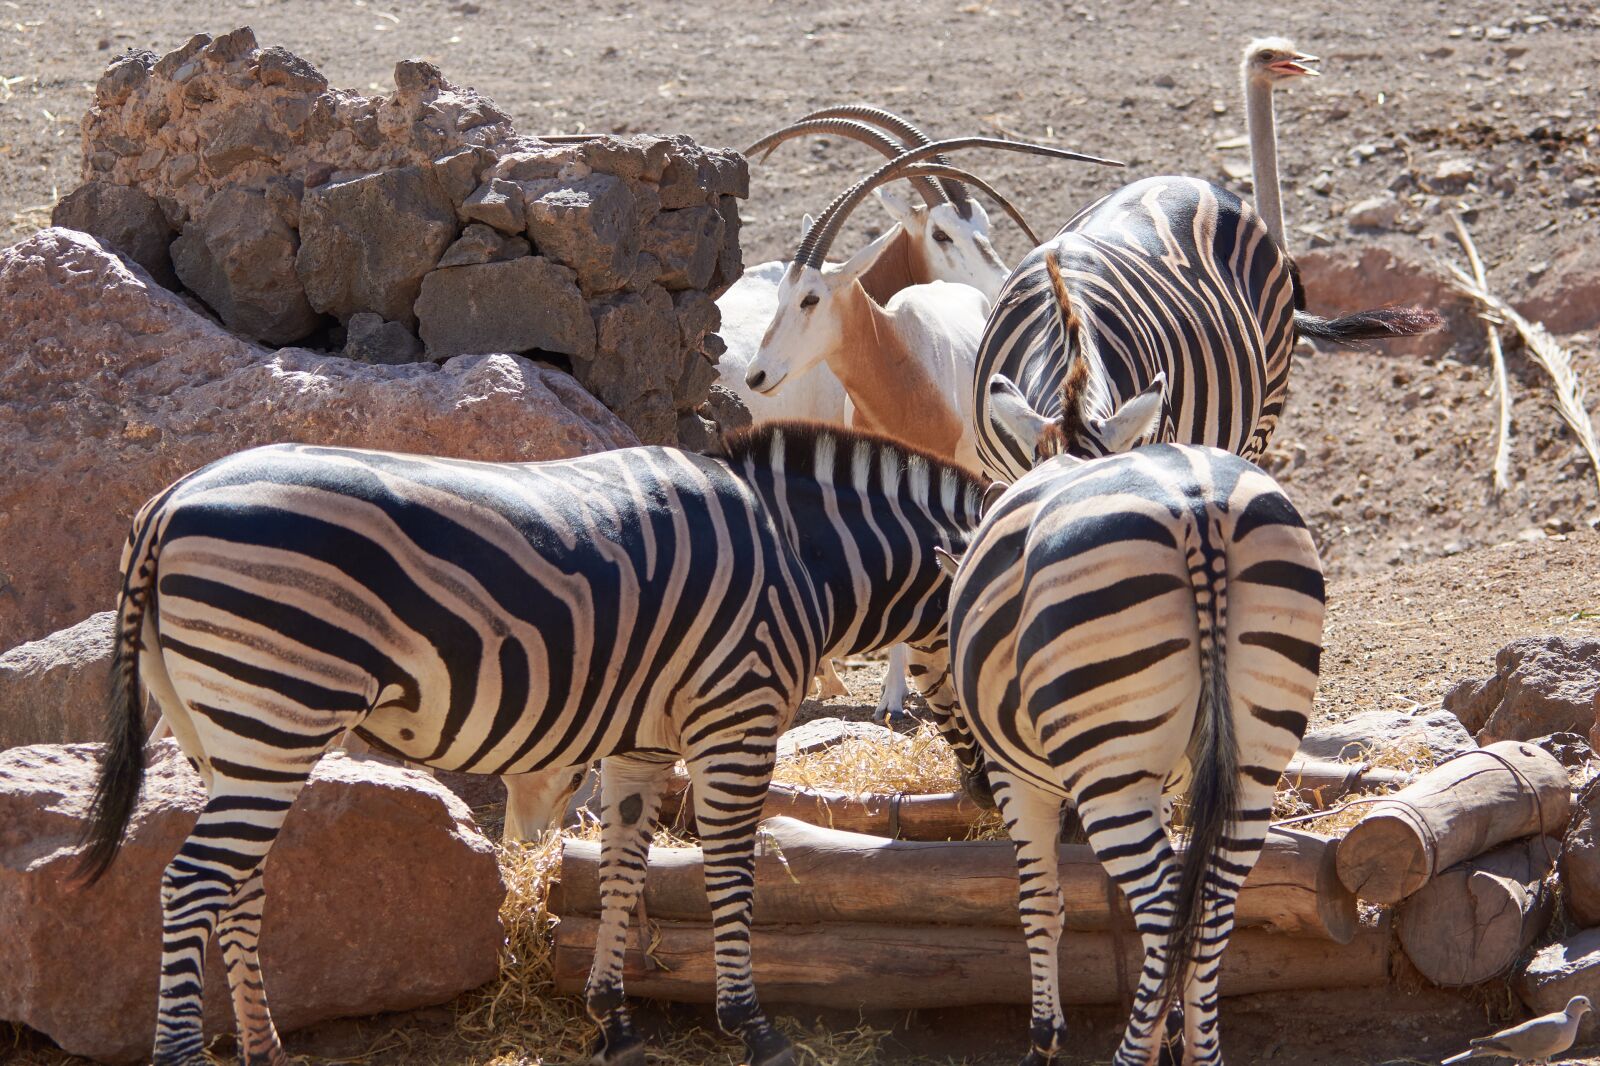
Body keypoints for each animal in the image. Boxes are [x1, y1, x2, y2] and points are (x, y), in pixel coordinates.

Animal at [76, 426, 986, 1066]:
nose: (980, 793)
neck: (802, 557)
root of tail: (169, 504)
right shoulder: (739, 717)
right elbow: (731, 870)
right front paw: (753, 1028)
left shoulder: (641, 743)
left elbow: (622, 868)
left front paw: (613, 1020)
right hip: (278, 714)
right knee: (193, 884)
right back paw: (185, 1053)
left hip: (224, 735)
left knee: (239, 885)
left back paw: (266, 1050)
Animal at [943, 442, 1326, 1066]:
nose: (972, 789)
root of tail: (1198, 506)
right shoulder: (1166, 787)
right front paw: (1170, 1031)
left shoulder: (1016, 782)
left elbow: (1039, 904)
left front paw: (1045, 1038)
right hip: (1252, 765)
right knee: (1207, 909)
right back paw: (1198, 1052)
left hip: (1108, 775)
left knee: (1169, 914)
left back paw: (1131, 1054)